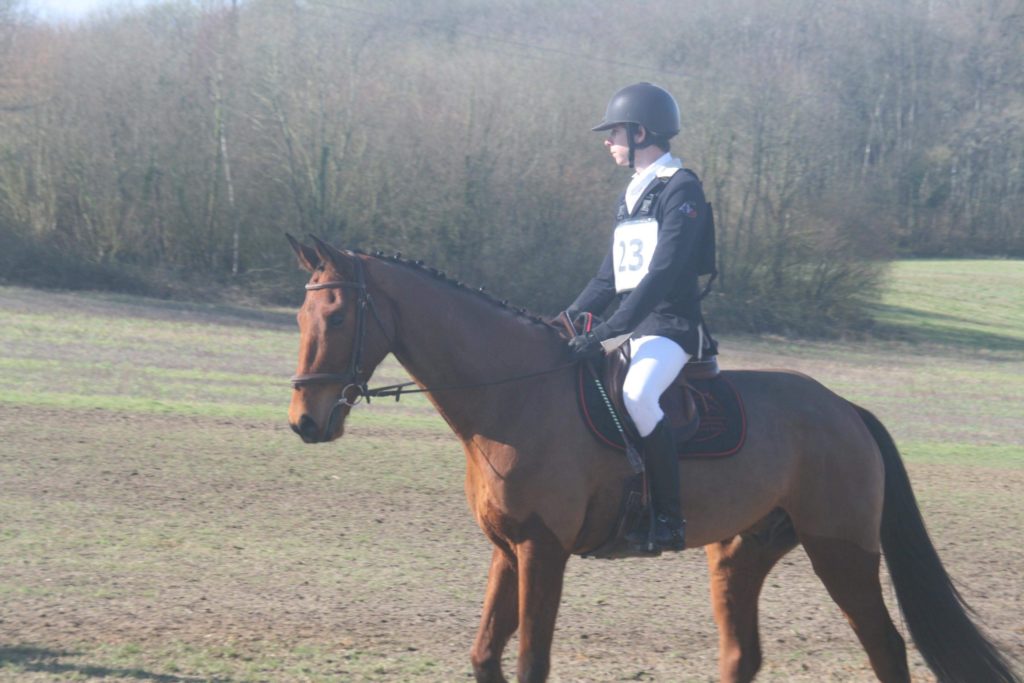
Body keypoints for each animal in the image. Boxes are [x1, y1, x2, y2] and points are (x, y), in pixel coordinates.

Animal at [284, 236, 1019, 683]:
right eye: (299, 317)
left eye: (340, 316)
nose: (305, 422)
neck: (514, 395)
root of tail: (844, 407)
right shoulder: (507, 549)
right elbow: (485, 655)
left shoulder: (543, 551)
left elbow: (529, 661)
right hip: (740, 553)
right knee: (741, 654)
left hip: (842, 552)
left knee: (885, 646)